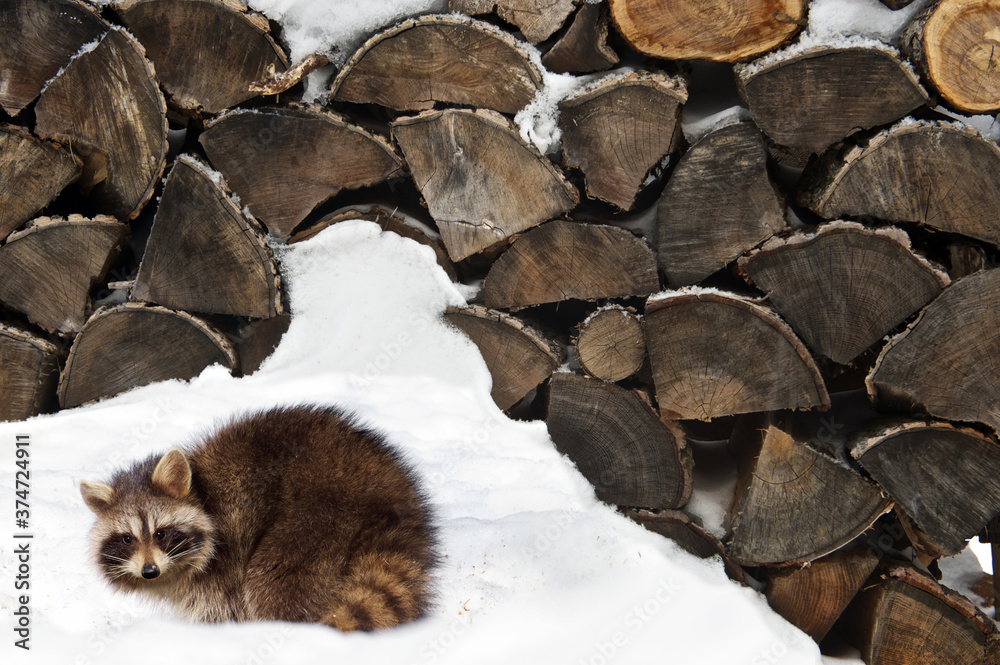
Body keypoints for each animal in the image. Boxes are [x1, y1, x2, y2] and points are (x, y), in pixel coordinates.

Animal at [79, 405, 436, 631]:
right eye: (127, 538)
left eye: (161, 533)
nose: (149, 571)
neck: (202, 492)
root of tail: (384, 500)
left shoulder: (222, 564)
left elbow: (221, 608)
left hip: (311, 523)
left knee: (274, 585)